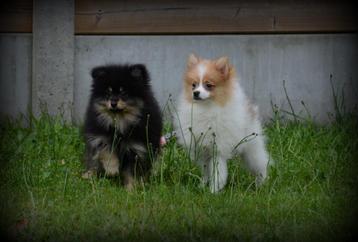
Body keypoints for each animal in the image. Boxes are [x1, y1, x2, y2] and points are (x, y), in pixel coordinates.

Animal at [175, 54, 270, 193]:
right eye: (193, 85)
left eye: (208, 85)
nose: (196, 93)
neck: (207, 108)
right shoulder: (203, 150)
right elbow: (206, 171)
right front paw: (203, 186)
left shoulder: (217, 150)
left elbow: (217, 173)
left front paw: (213, 191)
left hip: (252, 149)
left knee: (261, 165)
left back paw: (261, 184)